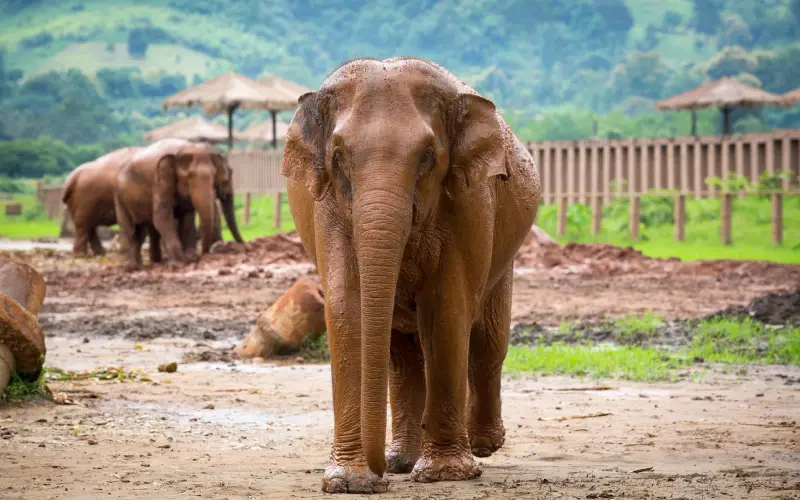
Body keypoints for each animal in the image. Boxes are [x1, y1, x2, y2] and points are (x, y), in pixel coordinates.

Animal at [114, 138, 244, 269]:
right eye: (189, 176)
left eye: (214, 175)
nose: (243, 244)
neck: (186, 148)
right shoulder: (161, 181)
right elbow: (162, 218)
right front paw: (179, 263)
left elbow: (186, 219)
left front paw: (189, 258)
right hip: (119, 199)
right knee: (131, 230)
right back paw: (134, 267)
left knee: (145, 230)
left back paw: (152, 263)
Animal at [281, 57, 541, 494]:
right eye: (338, 155)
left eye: (427, 156)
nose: (379, 478)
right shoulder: (328, 206)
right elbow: (347, 307)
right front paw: (349, 482)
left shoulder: (468, 201)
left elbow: (446, 308)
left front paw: (445, 474)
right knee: (403, 357)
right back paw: (402, 460)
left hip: (505, 258)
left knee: (487, 342)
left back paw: (483, 445)